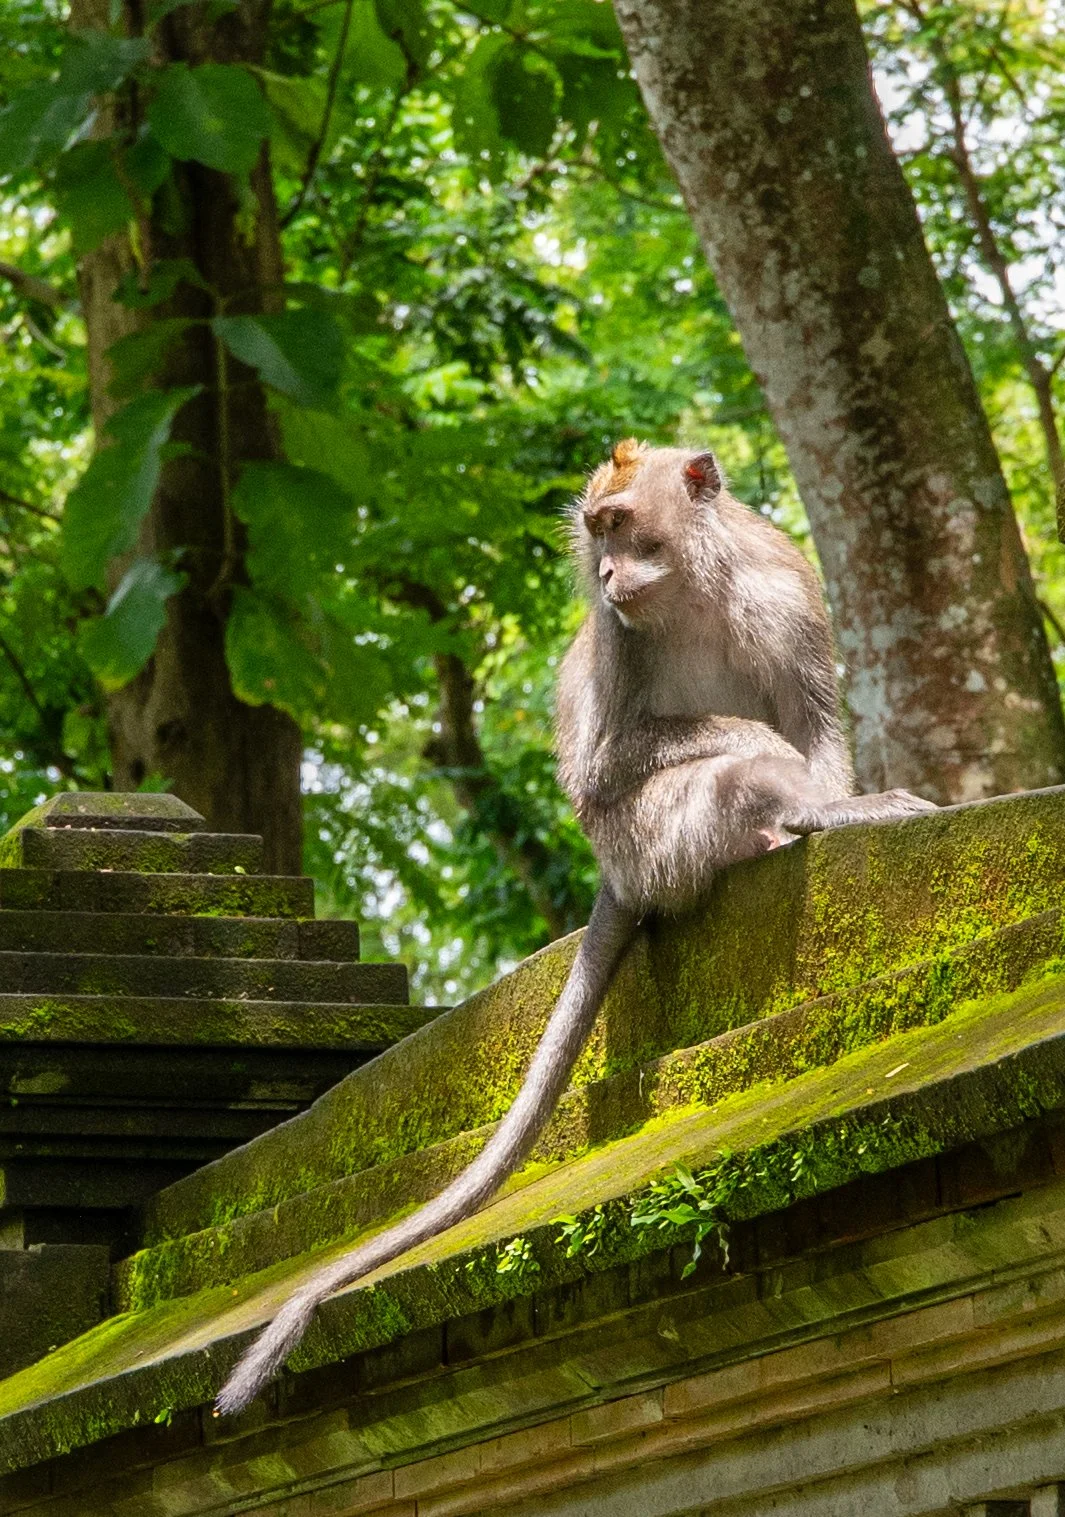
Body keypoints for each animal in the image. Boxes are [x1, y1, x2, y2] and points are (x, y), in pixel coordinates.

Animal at [215, 439, 934, 1415]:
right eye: (595, 530)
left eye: (620, 522)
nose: (602, 572)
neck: (691, 586)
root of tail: (616, 877)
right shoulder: (618, 641)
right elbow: (609, 763)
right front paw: (796, 780)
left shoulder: (784, 590)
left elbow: (812, 721)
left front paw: (835, 799)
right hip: (647, 844)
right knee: (717, 781)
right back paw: (772, 822)